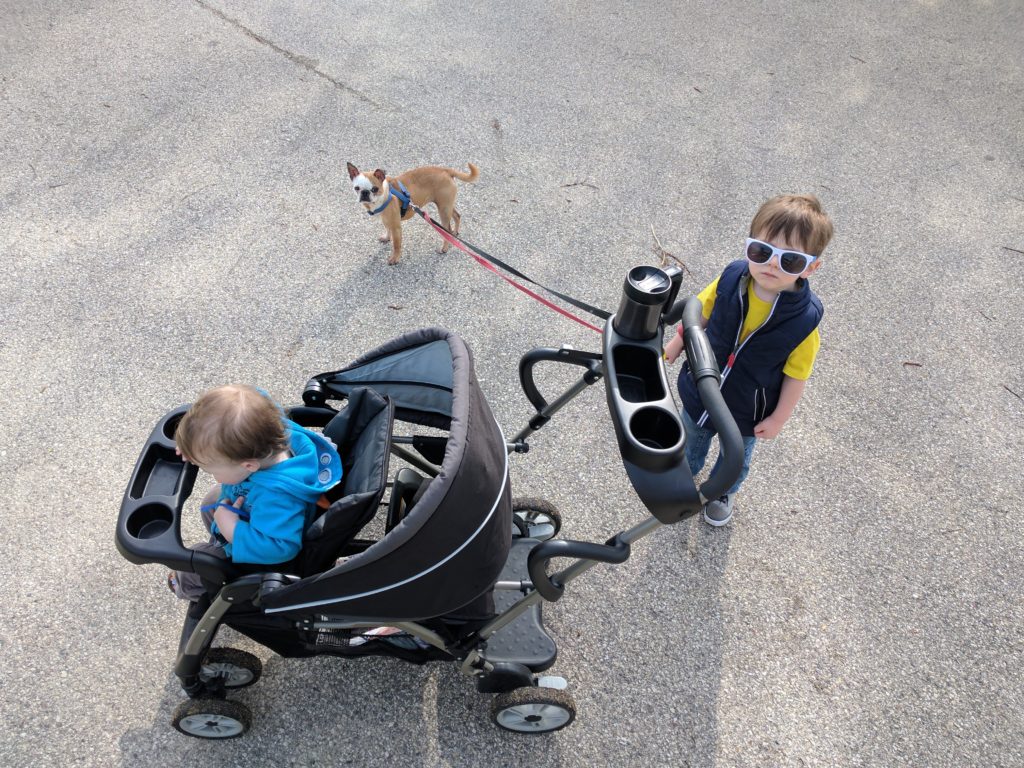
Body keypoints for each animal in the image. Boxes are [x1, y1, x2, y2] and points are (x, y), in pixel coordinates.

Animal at [346, 161, 477, 264]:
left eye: (374, 189)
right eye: (356, 188)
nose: (364, 193)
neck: (385, 194)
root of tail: (445, 170)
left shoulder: (396, 227)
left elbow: (396, 245)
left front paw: (395, 258)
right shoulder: (386, 220)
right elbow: (387, 229)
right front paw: (387, 238)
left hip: (443, 210)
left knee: (446, 229)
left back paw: (444, 248)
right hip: (447, 205)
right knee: (457, 216)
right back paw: (455, 232)